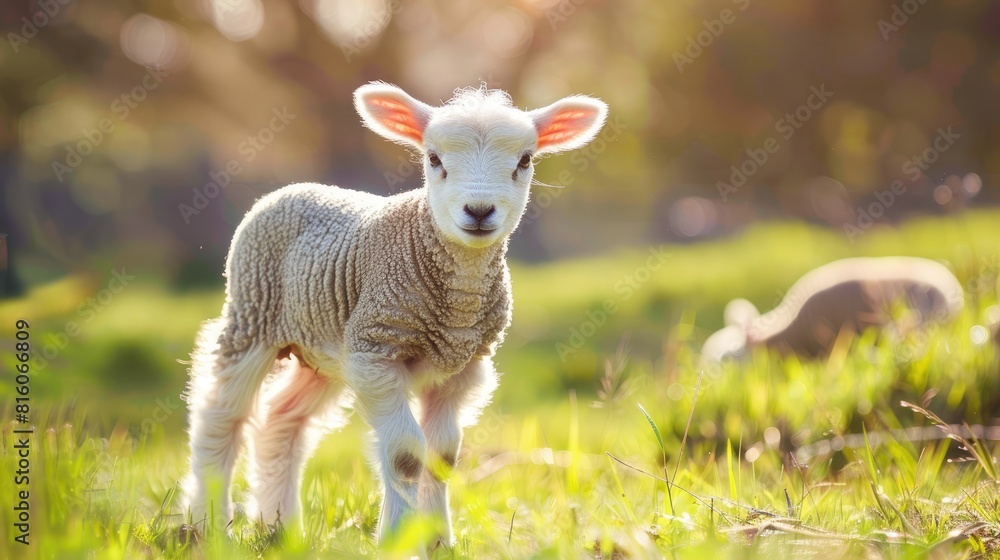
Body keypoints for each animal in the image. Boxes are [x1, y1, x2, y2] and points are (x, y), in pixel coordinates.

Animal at [180, 82, 608, 546]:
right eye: (434, 159)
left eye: (525, 160)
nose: (478, 211)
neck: (456, 306)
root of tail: (292, 188)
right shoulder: (376, 350)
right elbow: (405, 456)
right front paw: (398, 538)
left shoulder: (462, 366)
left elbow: (442, 457)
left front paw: (438, 541)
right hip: (252, 312)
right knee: (220, 416)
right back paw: (206, 525)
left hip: (323, 348)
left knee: (282, 420)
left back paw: (280, 526)